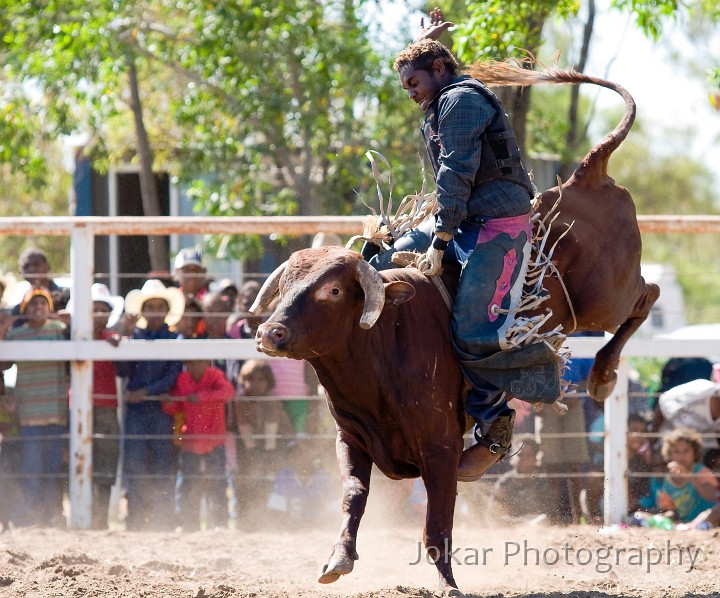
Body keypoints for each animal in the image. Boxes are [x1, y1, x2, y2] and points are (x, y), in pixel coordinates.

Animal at [248, 65, 660, 596]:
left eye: (334, 291)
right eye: (285, 285)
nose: (270, 334)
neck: (382, 350)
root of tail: (582, 176)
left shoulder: (441, 451)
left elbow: (436, 522)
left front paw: (446, 581)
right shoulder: (351, 440)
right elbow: (352, 498)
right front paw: (338, 558)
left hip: (604, 298)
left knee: (646, 295)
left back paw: (605, 375)